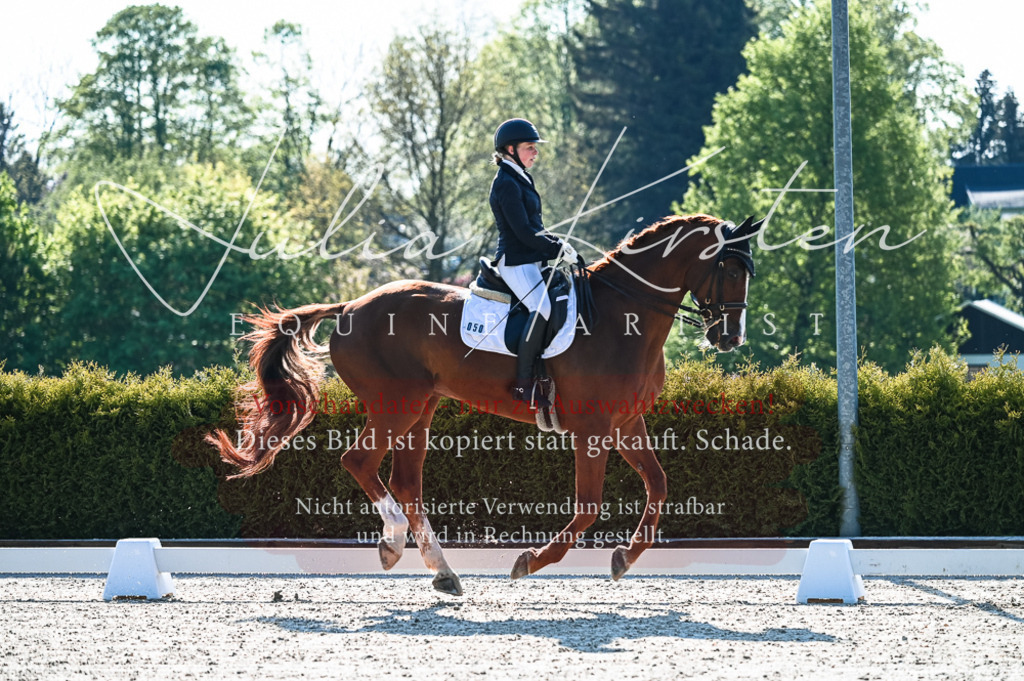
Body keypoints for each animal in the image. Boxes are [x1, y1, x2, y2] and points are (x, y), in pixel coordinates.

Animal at [207, 213, 764, 595]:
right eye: (730, 268)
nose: (730, 338)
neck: (623, 316)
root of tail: (351, 307)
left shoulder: (627, 423)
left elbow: (660, 486)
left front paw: (624, 558)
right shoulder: (593, 430)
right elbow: (587, 507)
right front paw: (530, 562)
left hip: (422, 409)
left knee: (407, 483)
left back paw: (443, 572)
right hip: (397, 405)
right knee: (359, 461)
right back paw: (392, 544)